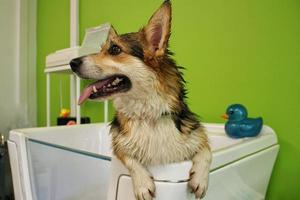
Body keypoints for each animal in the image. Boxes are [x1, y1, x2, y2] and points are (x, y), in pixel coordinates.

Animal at [69, 0, 211, 199]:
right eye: (101, 50)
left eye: (115, 49)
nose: (72, 63)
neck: (147, 114)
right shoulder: (119, 145)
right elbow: (130, 157)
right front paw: (143, 184)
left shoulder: (196, 135)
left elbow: (206, 150)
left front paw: (200, 179)